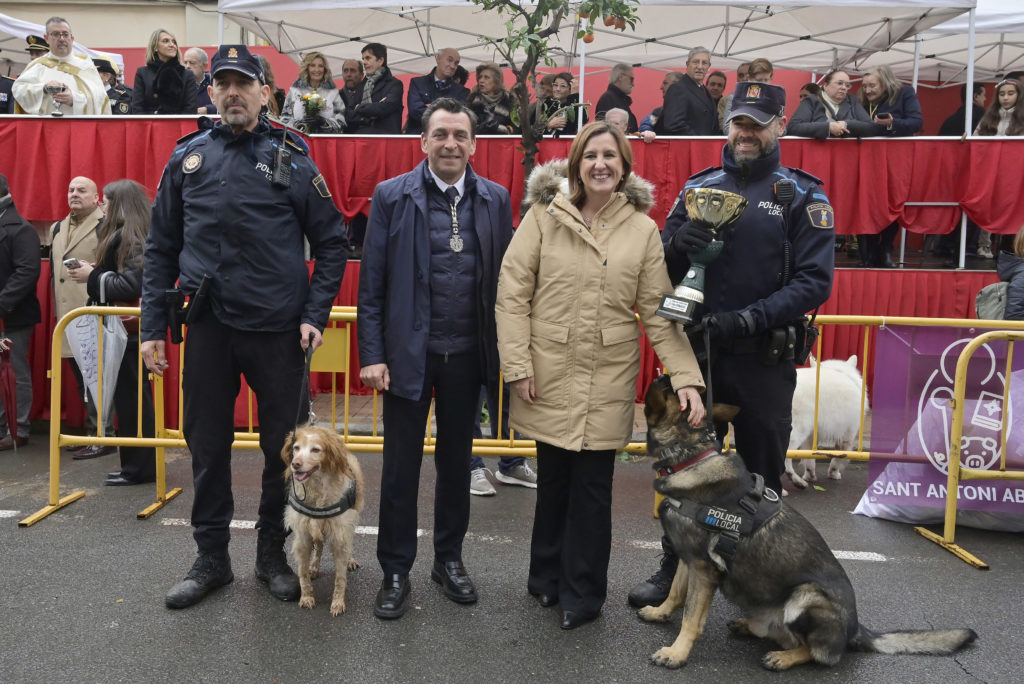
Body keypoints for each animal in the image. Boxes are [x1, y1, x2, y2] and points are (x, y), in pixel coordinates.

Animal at [638, 376, 974, 671]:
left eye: (669, 388)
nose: (664, 374)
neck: (691, 458)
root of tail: (855, 630)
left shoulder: (703, 570)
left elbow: (691, 617)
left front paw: (677, 653)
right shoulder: (689, 561)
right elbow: (676, 593)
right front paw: (660, 613)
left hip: (805, 597)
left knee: (817, 653)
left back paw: (783, 658)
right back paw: (750, 626)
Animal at [786, 356, 868, 489]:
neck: (840, 372)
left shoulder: (811, 437)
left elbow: (809, 459)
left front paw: (810, 476)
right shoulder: (847, 435)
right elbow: (838, 456)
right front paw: (833, 473)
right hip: (797, 432)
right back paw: (796, 481)